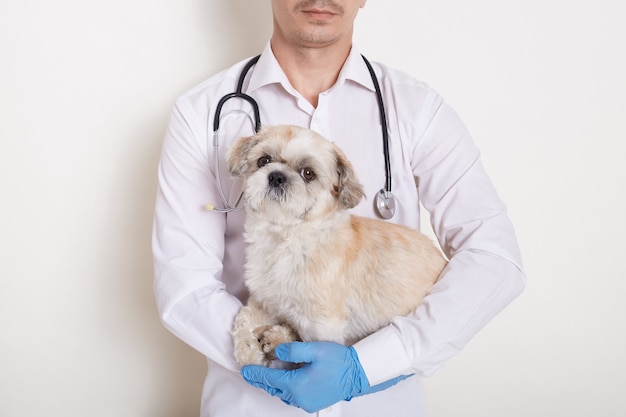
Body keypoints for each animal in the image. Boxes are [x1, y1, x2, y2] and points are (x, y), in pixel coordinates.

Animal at [227, 125, 446, 366]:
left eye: (308, 173)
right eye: (264, 160)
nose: (276, 176)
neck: (287, 239)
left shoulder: (323, 325)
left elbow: (311, 357)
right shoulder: (265, 300)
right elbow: (245, 319)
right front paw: (248, 352)